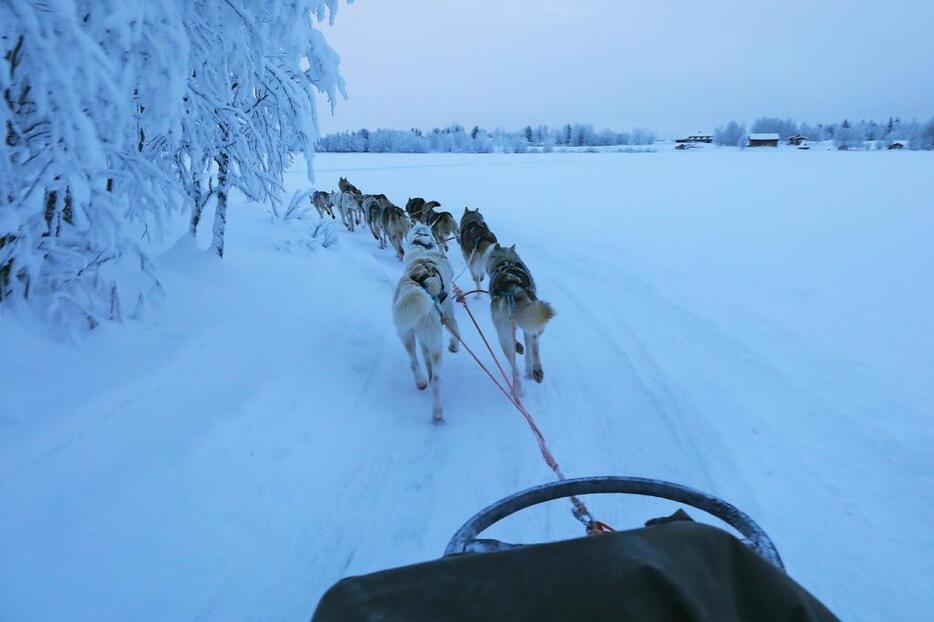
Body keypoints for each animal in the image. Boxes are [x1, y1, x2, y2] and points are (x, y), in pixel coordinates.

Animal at [392, 224, 460, 424]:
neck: (423, 251)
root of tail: (415, 286)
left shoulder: (422, 340)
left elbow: (425, 358)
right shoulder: (449, 316)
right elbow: (457, 333)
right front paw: (455, 346)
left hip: (407, 334)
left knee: (415, 363)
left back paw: (423, 383)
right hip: (435, 338)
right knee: (435, 377)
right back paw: (436, 411)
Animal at [490, 245, 556, 394]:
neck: (506, 260)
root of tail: (512, 289)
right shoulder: (528, 328)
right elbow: (529, 354)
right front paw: (529, 371)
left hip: (504, 336)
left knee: (515, 369)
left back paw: (518, 390)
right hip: (531, 323)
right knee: (534, 346)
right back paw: (536, 371)